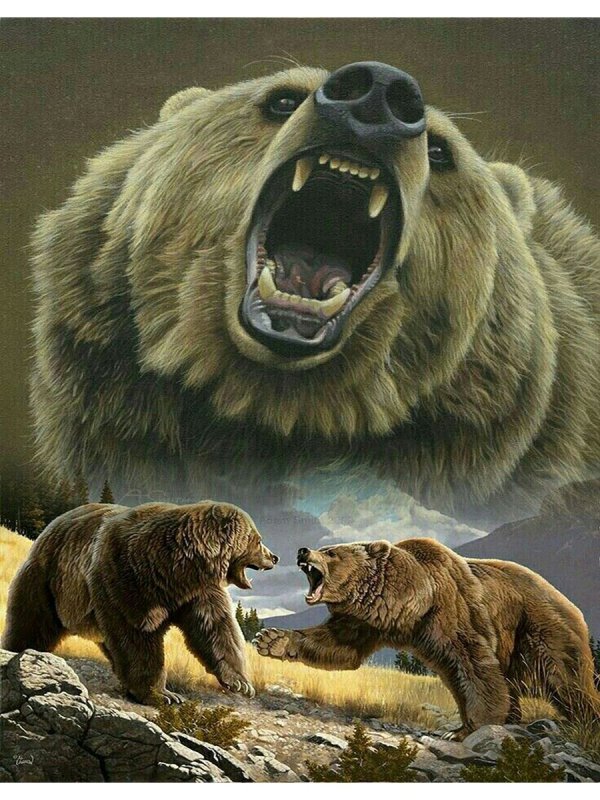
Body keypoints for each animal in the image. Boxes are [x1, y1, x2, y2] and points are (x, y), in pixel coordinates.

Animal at [2, 501, 278, 703]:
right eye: (257, 539)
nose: (274, 557)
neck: (178, 570)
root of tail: (51, 526)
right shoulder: (127, 576)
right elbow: (137, 635)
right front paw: (163, 694)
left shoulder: (198, 593)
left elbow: (216, 629)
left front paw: (241, 683)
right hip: (48, 579)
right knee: (33, 620)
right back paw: (18, 650)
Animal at [254, 538, 600, 737]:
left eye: (331, 552)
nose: (302, 550)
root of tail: (572, 605)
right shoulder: (367, 620)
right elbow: (339, 644)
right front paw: (270, 639)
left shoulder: (452, 611)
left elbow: (475, 665)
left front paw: (471, 728)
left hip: (540, 629)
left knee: (567, 681)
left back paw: (584, 723)